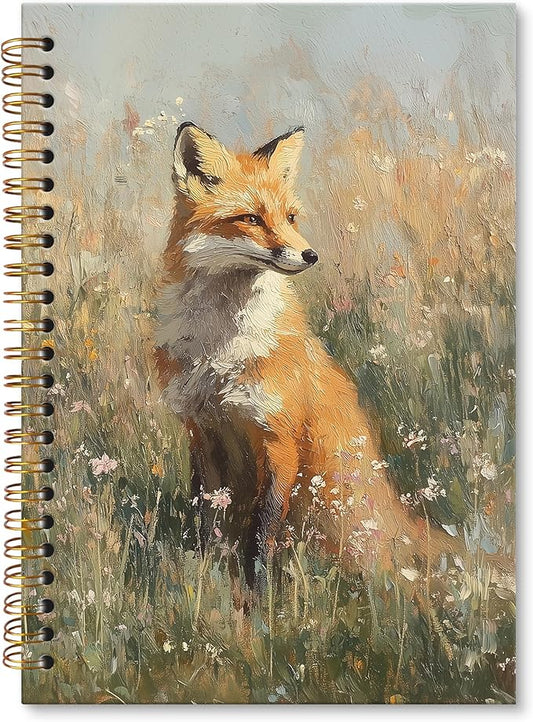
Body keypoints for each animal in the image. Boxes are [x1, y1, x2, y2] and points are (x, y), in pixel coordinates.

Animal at [154, 122, 508, 599]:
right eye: (250, 219)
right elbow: (206, 523)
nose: (310, 255)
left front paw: (259, 603)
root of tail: (398, 519)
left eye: (290, 217)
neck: (221, 351)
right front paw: (208, 583)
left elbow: (261, 533)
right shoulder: (203, 432)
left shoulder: (279, 438)